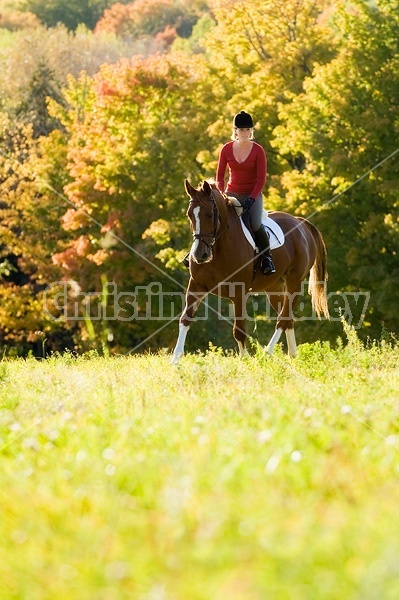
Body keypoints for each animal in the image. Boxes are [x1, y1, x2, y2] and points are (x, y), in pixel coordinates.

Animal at [170, 180, 330, 364]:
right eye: (190, 215)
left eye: (209, 215)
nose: (199, 255)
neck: (218, 247)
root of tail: (300, 223)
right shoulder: (196, 286)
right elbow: (185, 319)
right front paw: (175, 359)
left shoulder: (239, 293)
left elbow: (239, 330)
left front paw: (245, 360)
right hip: (273, 287)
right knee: (288, 318)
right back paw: (292, 356)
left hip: (294, 283)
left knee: (283, 319)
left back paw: (267, 353)